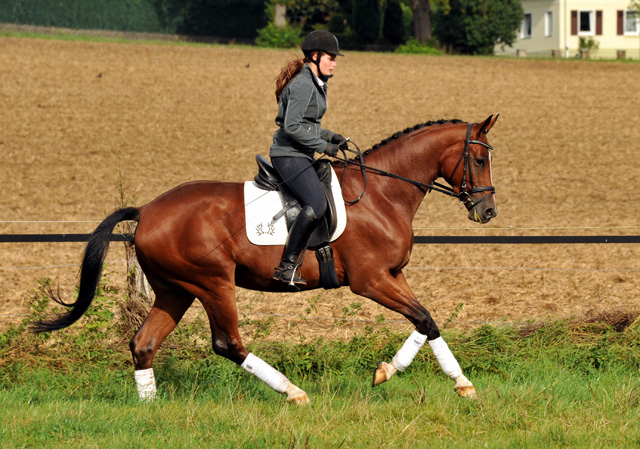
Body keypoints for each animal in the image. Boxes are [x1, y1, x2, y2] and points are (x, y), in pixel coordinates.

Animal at [32, 115, 498, 402]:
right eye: (478, 159)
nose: (488, 211)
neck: (383, 192)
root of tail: (147, 211)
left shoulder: (393, 275)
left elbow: (426, 320)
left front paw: (451, 382)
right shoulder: (370, 280)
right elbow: (422, 318)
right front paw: (398, 373)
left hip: (174, 290)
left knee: (144, 343)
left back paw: (151, 407)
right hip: (212, 284)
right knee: (227, 343)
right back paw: (293, 393)